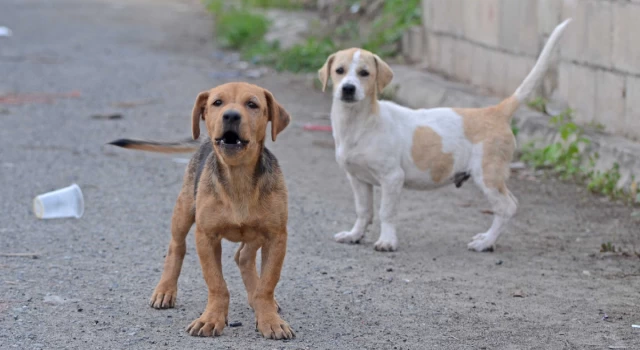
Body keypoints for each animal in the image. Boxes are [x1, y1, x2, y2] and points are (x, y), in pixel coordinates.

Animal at [110, 81, 296, 340]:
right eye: (217, 102)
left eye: (252, 104)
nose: (231, 115)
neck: (238, 177)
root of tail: (204, 141)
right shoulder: (206, 236)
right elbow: (217, 284)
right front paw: (211, 319)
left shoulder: (276, 235)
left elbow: (267, 284)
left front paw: (269, 319)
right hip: (184, 209)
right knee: (176, 247)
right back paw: (165, 290)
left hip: (257, 231)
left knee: (243, 256)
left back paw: (254, 299)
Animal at [318, 18, 572, 252]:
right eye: (339, 71)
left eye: (365, 73)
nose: (348, 89)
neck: (359, 123)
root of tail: (495, 111)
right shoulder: (357, 178)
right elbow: (363, 211)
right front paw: (354, 235)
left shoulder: (392, 178)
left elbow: (386, 213)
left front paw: (387, 241)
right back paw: (485, 238)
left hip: (487, 175)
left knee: (507, 207)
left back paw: (486, 243)